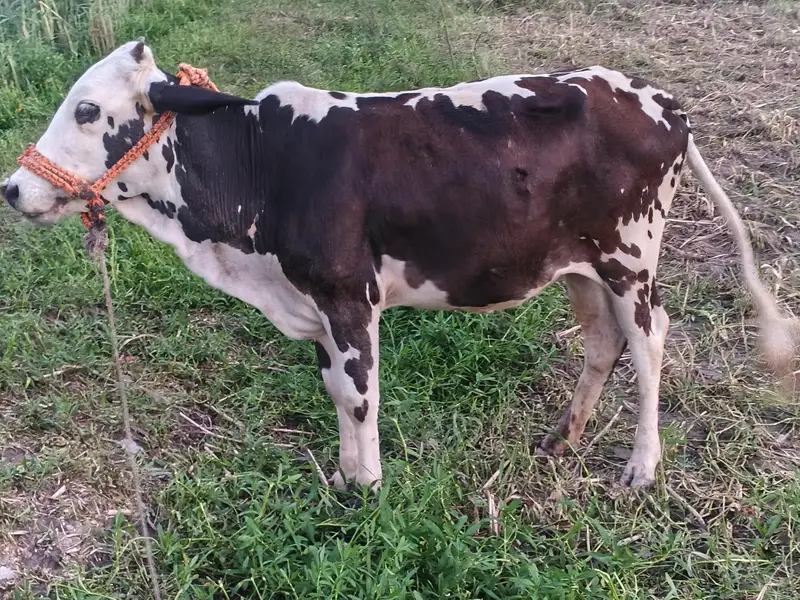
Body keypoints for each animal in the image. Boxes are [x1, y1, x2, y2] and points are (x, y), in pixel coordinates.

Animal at [3, 41, 797, 491]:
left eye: (86, 110)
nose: (13, 189)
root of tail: (657, 96)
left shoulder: (348, 296)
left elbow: (360, 396)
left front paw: (369, 490)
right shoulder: (316, 303)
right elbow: (333, 390)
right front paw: (347, 478)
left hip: (631, 256)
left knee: (650, 340)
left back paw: (641, 468)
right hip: (576, 263)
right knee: (603, 342)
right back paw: (561, 439)